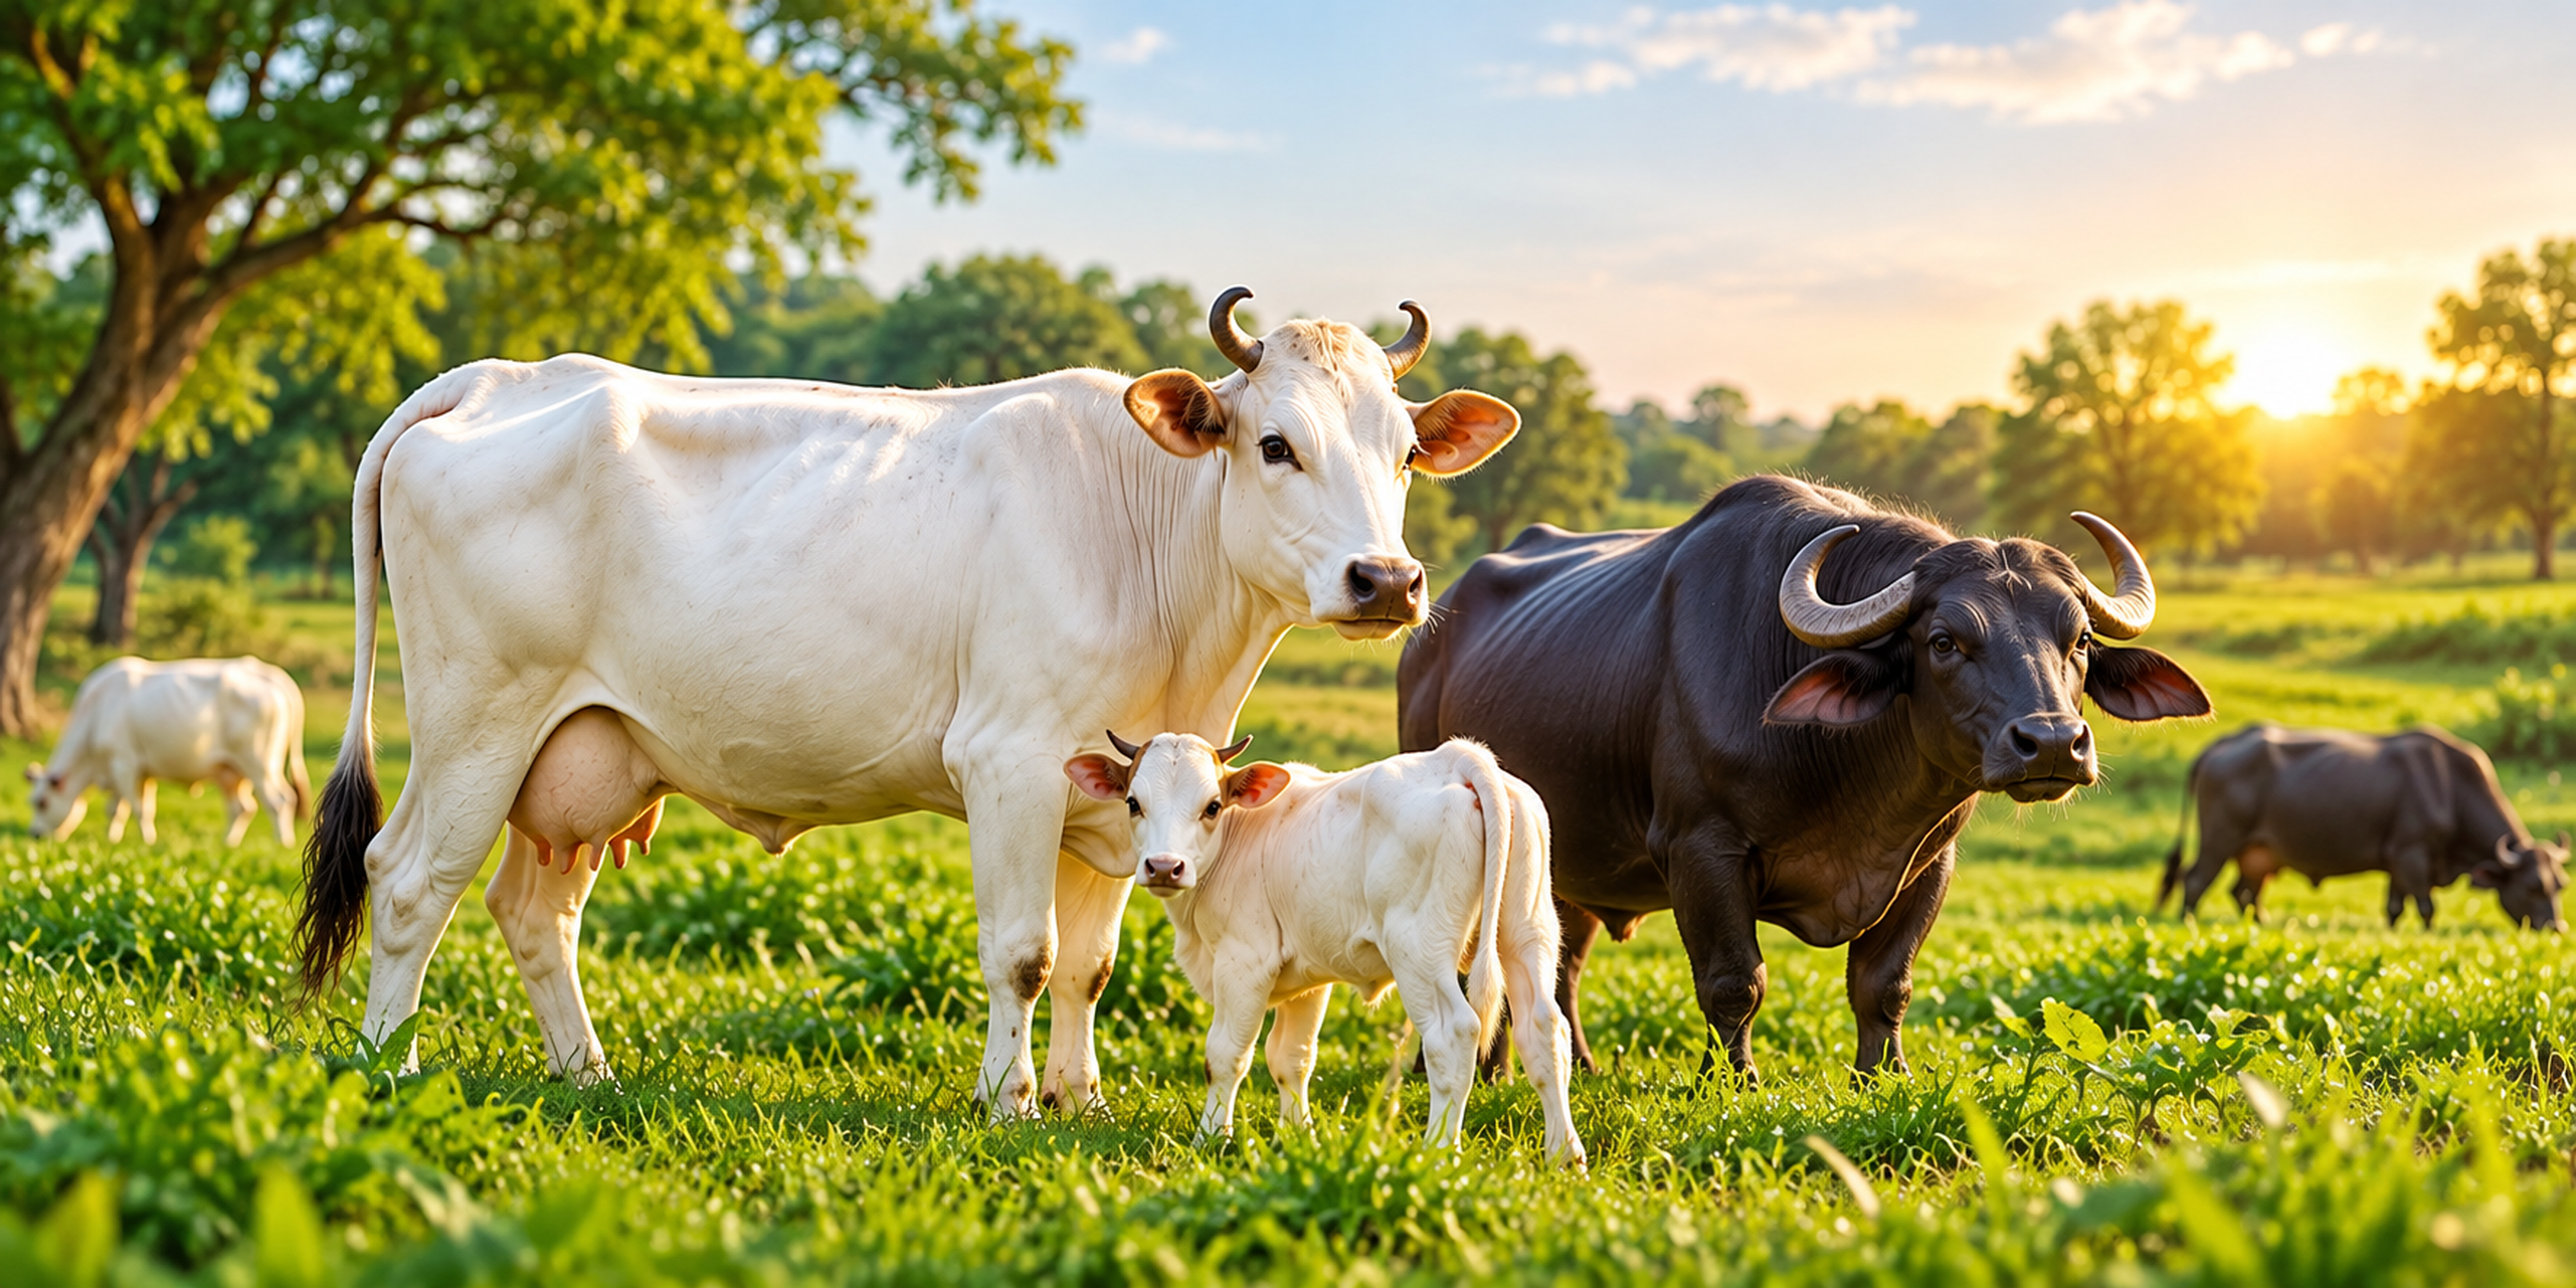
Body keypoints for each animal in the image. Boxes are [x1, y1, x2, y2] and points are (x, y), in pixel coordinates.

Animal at [27, 656, 311, 847]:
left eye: (42, 802)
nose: (35, 834)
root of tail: (268, 672)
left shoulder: (124, 764)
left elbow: (137, 809)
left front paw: (147, 841)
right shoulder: (138, 773)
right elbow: (119, 809)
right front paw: (112, 839)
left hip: (260, 764)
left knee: (280, 801)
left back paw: (282, 842)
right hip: (230, 771)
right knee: (243, 808)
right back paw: (228, 843)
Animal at [294, 290, 1521, 1115]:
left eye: (1405, 455)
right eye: (1276, 444)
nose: (1388, 580)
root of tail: (500, 376)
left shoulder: (1115, 790)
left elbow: (1088, 966)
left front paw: (1080, 1099)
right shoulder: (1010, 761)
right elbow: (1023, 952)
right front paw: (1007, 1099)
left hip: (581, 753)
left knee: (533, 910)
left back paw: (588, 1072)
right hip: (476, 722)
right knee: (409, 883)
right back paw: (388, 1067)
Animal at [1064, 732, 1583, 1165]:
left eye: (1212, 806)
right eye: (1133, 803)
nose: (1164, 867)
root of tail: (1457, 758)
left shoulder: (1244, 962)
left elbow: (1226, 1054)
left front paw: (1211, 1138)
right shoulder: (1306, 979)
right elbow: (1291, 1057)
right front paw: (1299, 1137)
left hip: (1419, 950)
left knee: (1453, 1036)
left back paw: (1437, 1154)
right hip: (1528, 930)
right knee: (1544, 1030)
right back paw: (1565, 1156)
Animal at [1397, 475, 2213, 1082]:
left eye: (2078, 640)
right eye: (1944, 640)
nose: (2050, 743)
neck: (1848, 780)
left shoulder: (1928, 862)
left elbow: (1883, 984)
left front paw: (1882, 1077)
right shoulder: (1702, 850)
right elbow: (1734, 981)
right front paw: (1733, 1081)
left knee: (1554, 963)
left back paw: (1567, 1066)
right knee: (1471, 961)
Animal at [2159, 723, 2568, 931]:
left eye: (2560, 885)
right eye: (2533, 886)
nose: (2557, 928)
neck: (2450, 786)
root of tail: (2222, 743)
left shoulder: (2398, 864)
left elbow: (2394, 908)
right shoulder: (2411, 856)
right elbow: (2426, 908)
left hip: (2259, 854)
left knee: (2244, 892)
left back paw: (2262, 925)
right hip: (2220, 841)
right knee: (2195, 881)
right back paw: (2188, 924)